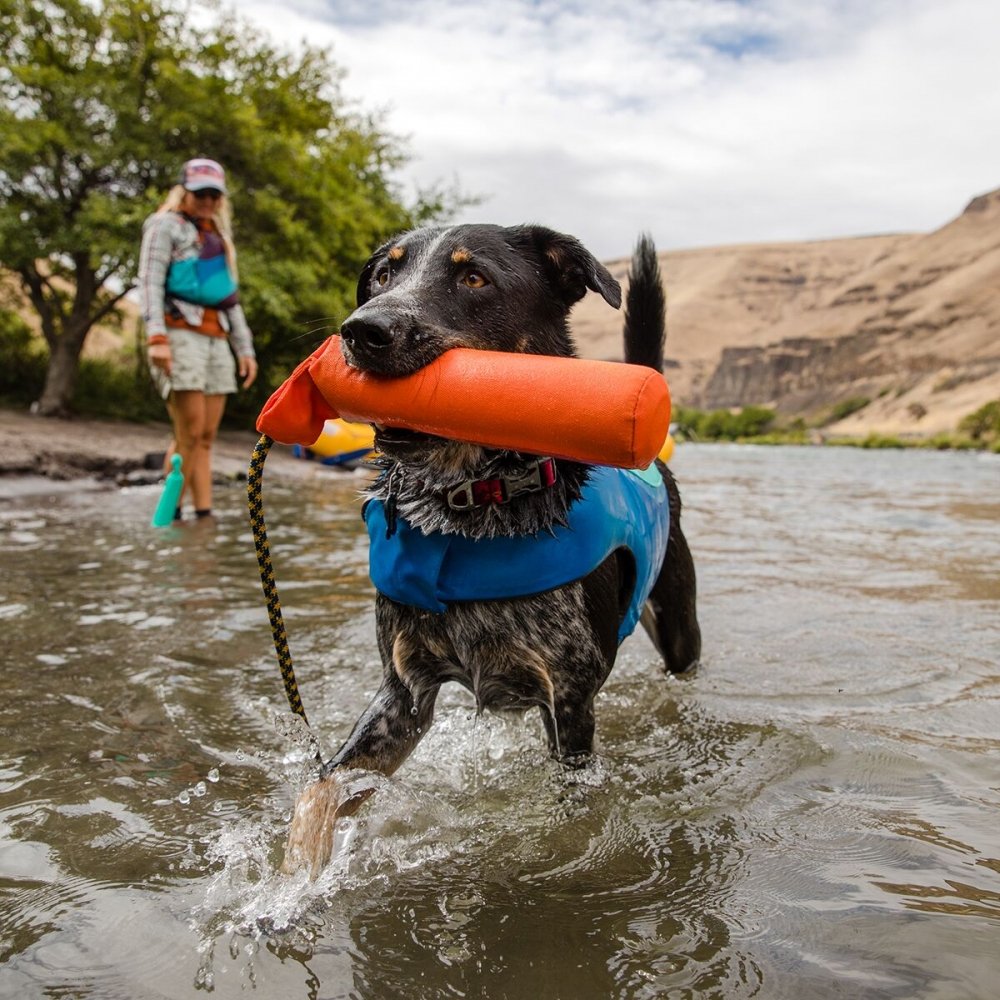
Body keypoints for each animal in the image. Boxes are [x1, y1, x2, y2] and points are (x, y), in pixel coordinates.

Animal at [284, 223, 704, 872]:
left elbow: (574, 814)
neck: (471, 505)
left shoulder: (570, 702)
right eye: (383, 275)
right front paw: (287, 882)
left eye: (474, 278)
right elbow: (319, 790)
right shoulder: (402, 696)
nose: (363, 330)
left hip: (679, 627)